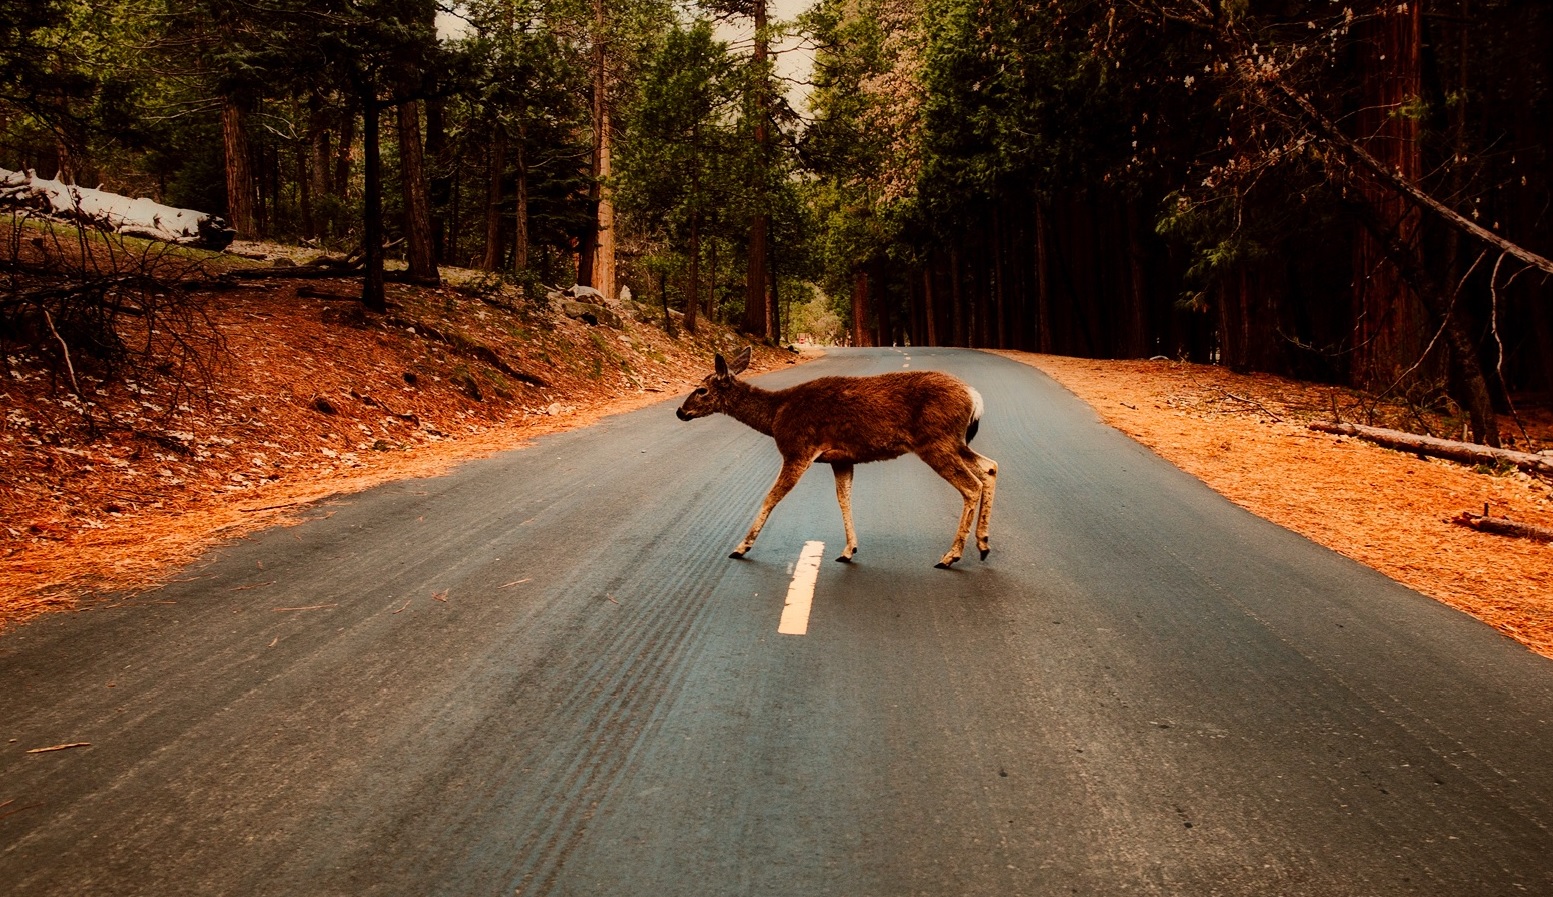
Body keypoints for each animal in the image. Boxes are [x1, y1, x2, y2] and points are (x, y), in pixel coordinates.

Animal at [675, 347, 998, 569]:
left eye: (701, 390)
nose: (680, 411)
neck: (776, 415)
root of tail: (975, 397)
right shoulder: (841, 458)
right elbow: (844, 498)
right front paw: (848, 550)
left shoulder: (798, 449)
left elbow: (771, 497)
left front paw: (741, 547)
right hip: (954, 441)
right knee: (990, 467)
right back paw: (982, 545)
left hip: (936, 441)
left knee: (971, 485)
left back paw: (950, 556)